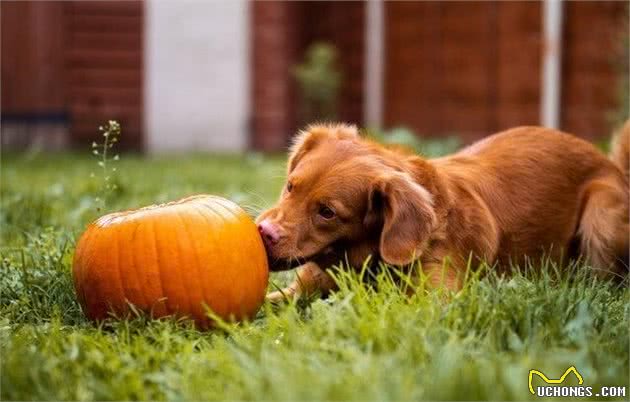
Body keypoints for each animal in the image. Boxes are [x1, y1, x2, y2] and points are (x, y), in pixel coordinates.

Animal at [258, 122, 630, 302]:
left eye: (327, 212)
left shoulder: (436, 301)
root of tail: (611, 164)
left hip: (601, 214)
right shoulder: (297, 291)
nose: (264, 232)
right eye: (290, 187)